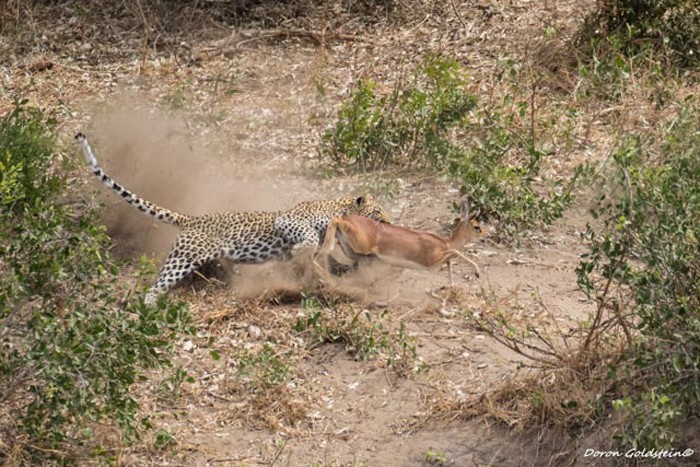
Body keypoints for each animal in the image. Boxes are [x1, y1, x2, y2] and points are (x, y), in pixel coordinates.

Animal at [78, 133, 394, 306]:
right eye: (378, 214)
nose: (391, 223)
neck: (335, 208)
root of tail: (191, 219)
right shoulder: (289, 220)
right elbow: (306, 239)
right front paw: (300, 251)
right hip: (183, 258)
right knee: (157, 284)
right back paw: (149, 305)